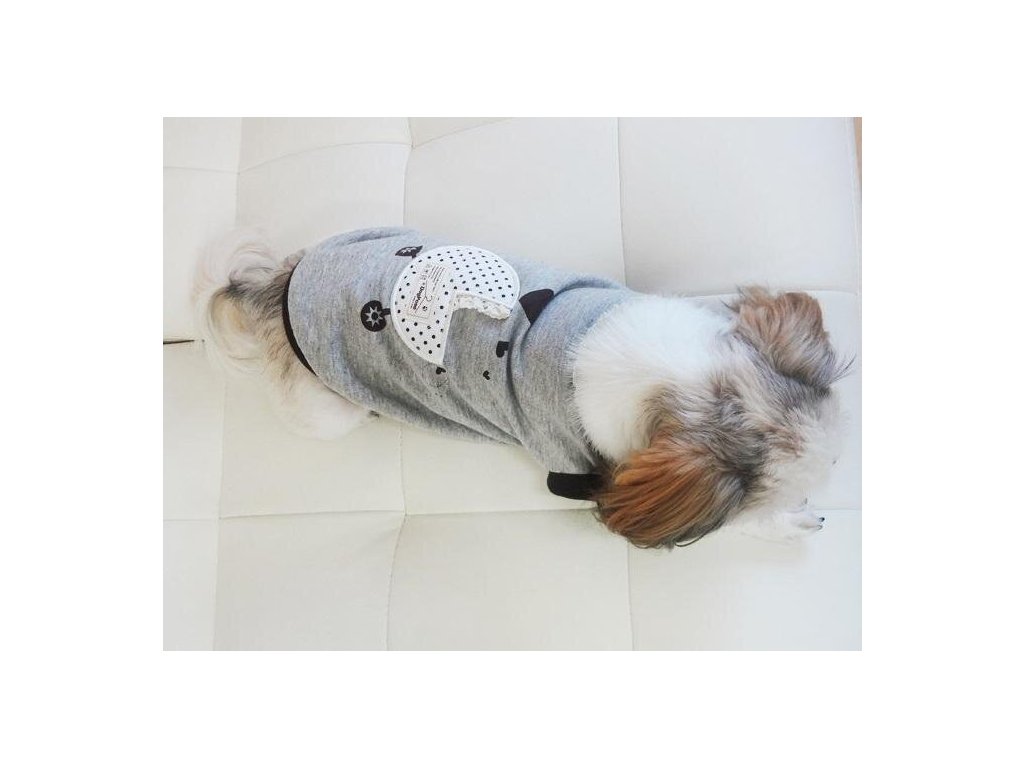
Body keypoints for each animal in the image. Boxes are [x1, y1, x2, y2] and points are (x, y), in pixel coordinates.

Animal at [194, 227, 849, 547]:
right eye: (784, 499)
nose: (812, 506)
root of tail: (274, 287)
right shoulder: (573, 469)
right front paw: (789, 526)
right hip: (329, 412)